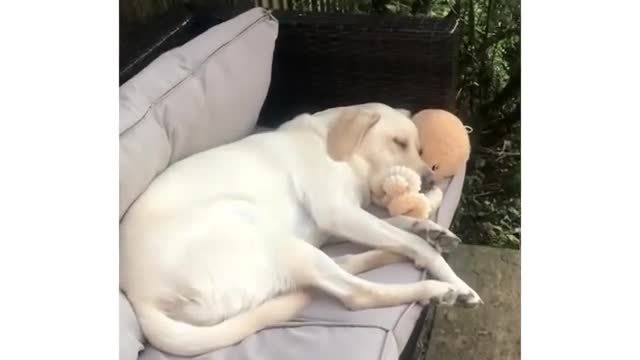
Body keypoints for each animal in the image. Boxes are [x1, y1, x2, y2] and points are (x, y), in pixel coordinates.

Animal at [119, 102, 480, 356]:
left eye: (419, 149)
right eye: (398, 142)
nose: (431, 181)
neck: (333, 144)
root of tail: (141, 300)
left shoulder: (339, 224)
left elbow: (402, 225)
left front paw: (430, 228)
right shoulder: (338, 213)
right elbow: (410, 241)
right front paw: (448, 274)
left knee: (344, 265)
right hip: (265, 233)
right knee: (356, 294)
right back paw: (439, 290)